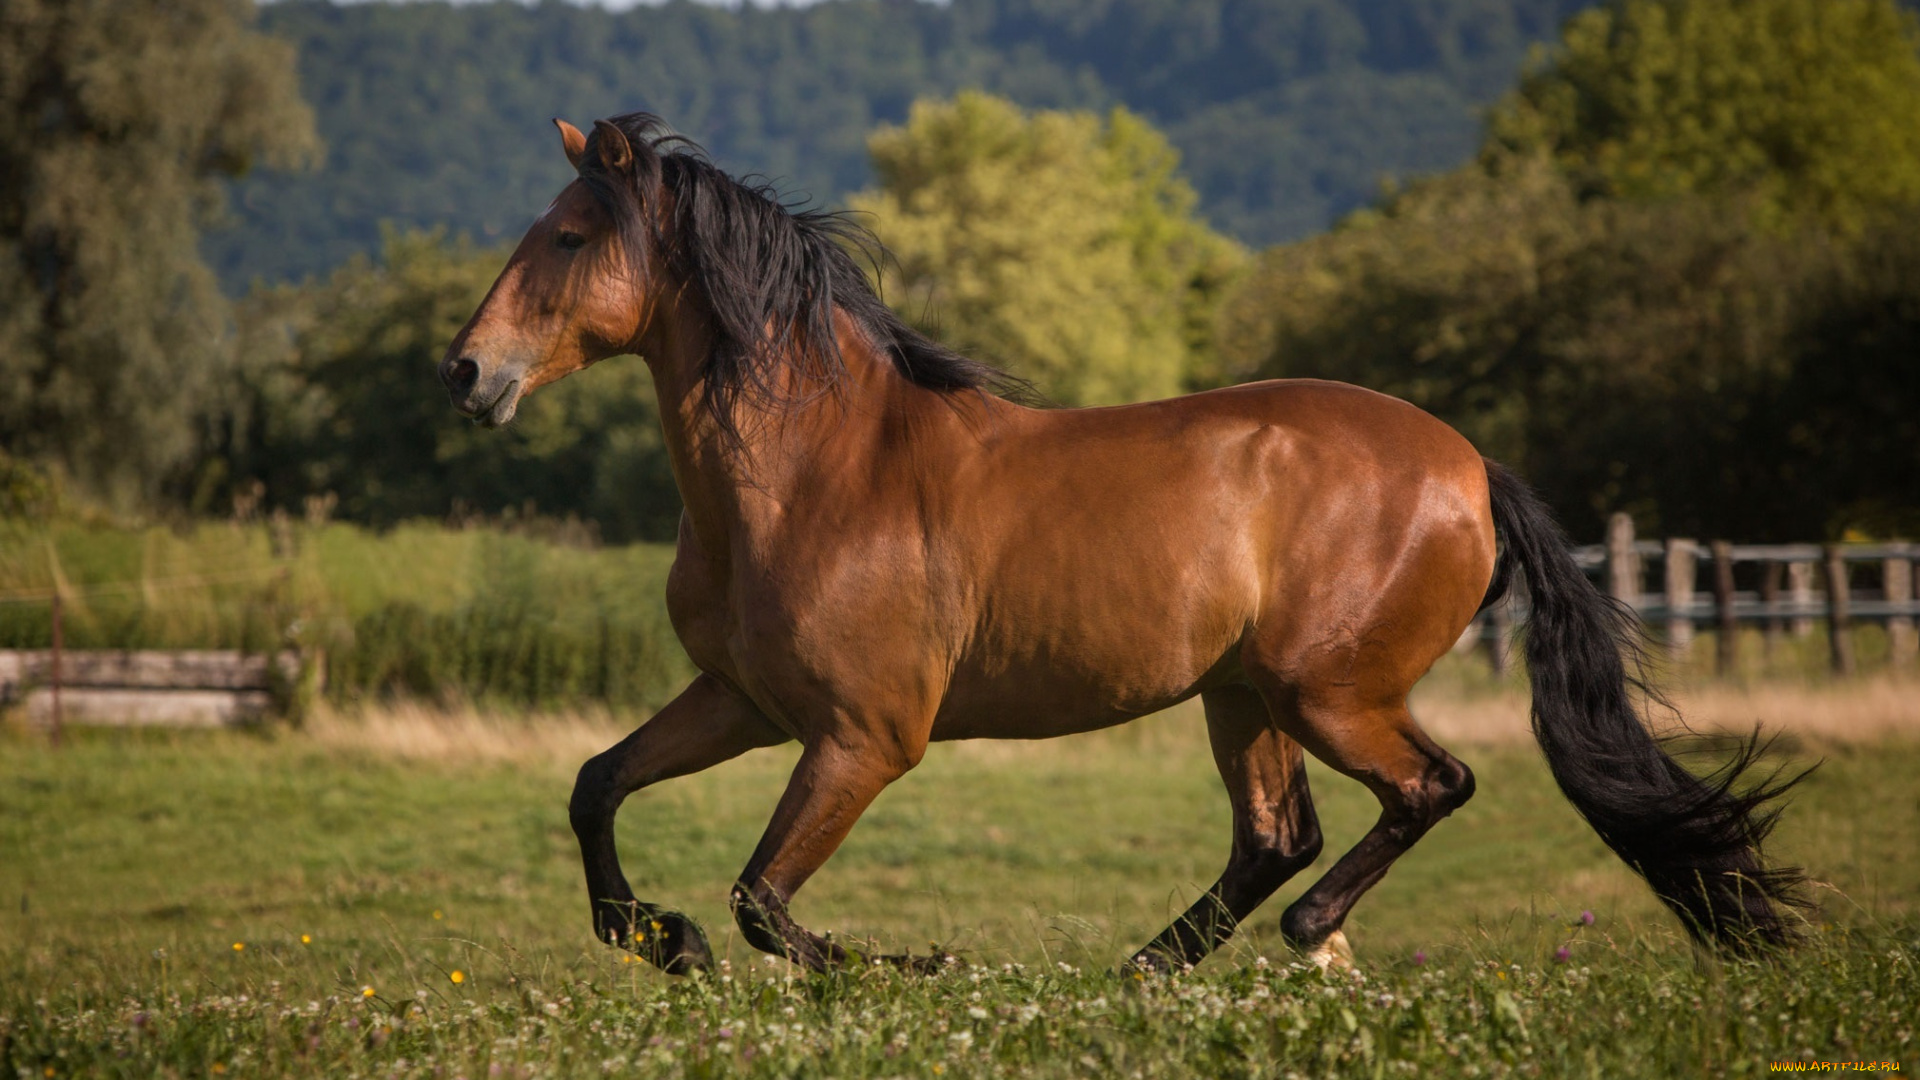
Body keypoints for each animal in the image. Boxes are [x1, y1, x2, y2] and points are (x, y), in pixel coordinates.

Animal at [441, 113, 1804, 972]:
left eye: (569, 237)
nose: (464, 372)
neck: (814, 471)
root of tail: (1470, 467)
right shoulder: (744, 702)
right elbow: (599, 787)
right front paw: (659, 942)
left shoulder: (862, 739)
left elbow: (764, 902)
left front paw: (915, 966)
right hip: (1244, 696)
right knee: (1277, 837)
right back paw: (1146, 970)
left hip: (1328, 691)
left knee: (1426, 790)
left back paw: (1294, 938)